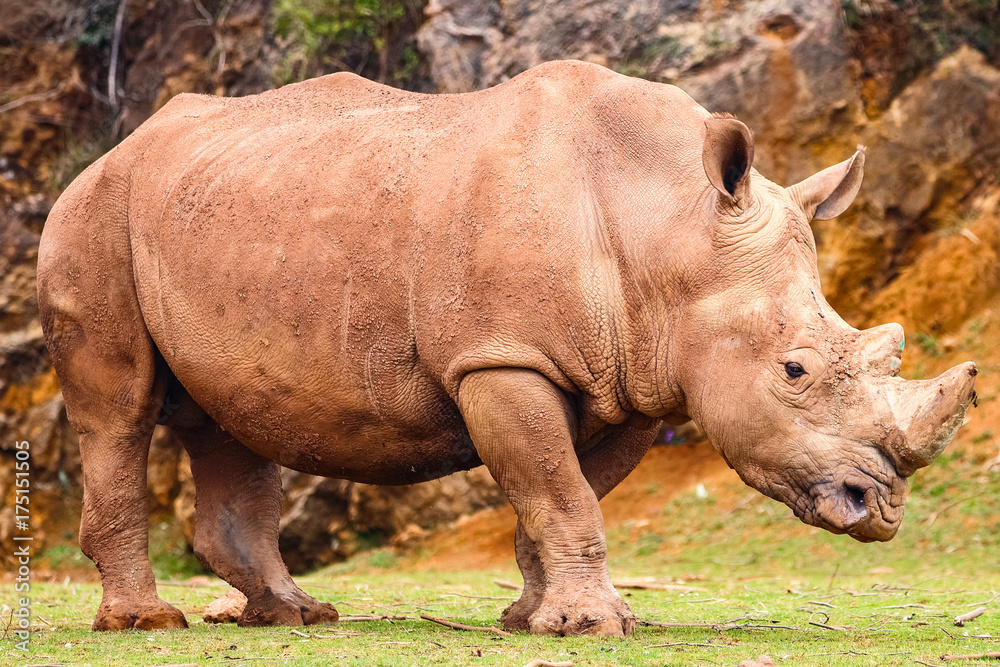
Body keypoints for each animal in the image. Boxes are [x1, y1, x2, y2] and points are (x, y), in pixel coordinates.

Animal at [37, 60, 977, 636]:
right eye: (795, 369)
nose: (879, 507)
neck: (670, 221)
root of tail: (111, 152)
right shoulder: (501, 356)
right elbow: (560, 491)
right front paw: (595, 625)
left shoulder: (633, 377)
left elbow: (557, 498)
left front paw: (536, 621)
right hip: (94, 214)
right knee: (119, 411)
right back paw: (147, 623)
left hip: (218, 213)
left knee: (229, 419)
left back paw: (298, 614)